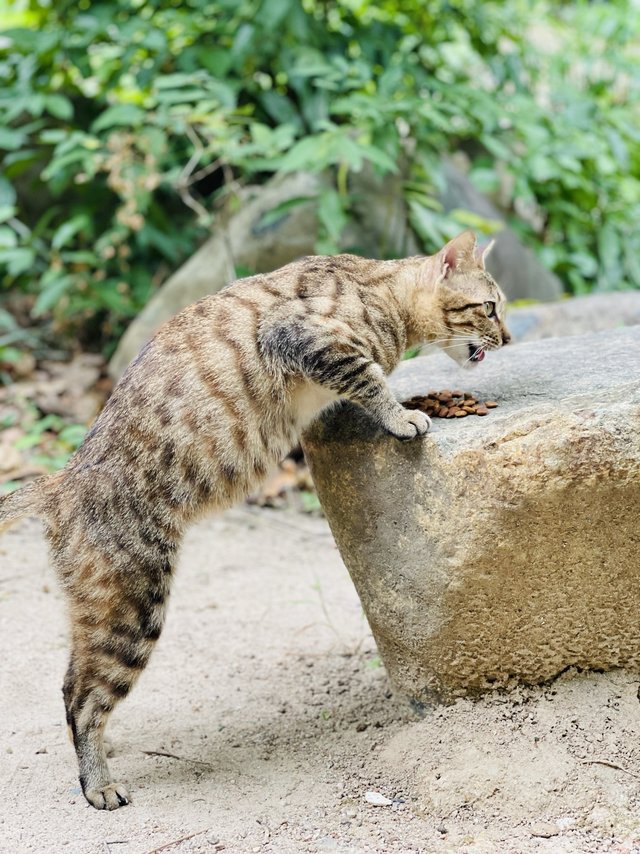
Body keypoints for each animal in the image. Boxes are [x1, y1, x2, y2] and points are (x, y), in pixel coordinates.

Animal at [0, 231, 510, 812]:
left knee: (74, 683)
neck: (380, 291)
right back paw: (99, 783)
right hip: (133, 605)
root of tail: (60, 481)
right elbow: (369, 378)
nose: (507, 337)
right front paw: (403, 415)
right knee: (81, 695)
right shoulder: (300, 335)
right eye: (490, 307)